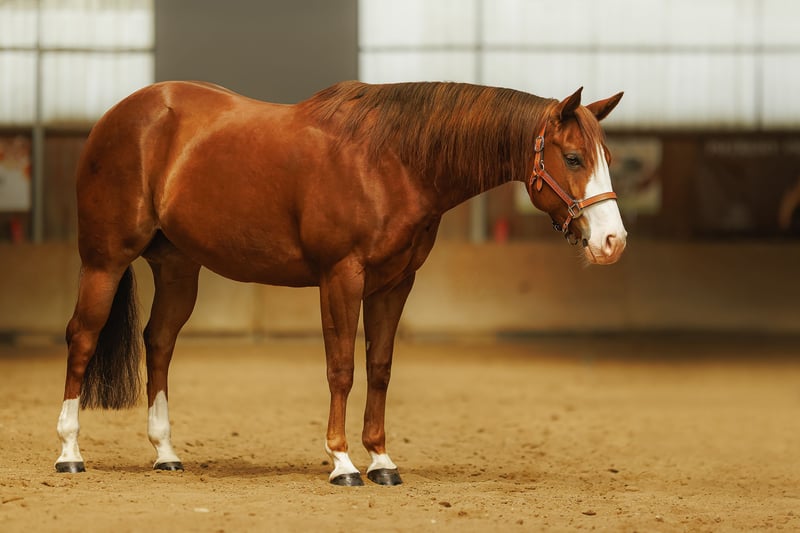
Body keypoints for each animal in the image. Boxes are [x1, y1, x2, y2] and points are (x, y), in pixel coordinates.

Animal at [55, 80, 626, 486]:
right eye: (572, 157)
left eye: (606, 159)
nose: (613, 241)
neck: (390, 160)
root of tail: (120, 115)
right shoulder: (341, 276)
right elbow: (342, 369)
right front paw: (343, 462)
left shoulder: (394, 284)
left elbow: (379, 368)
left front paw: (381, 461)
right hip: (104, 261)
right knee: (82, 338)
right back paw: (70, 453)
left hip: (177, 268)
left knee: (159, 342)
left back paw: (166, 454)